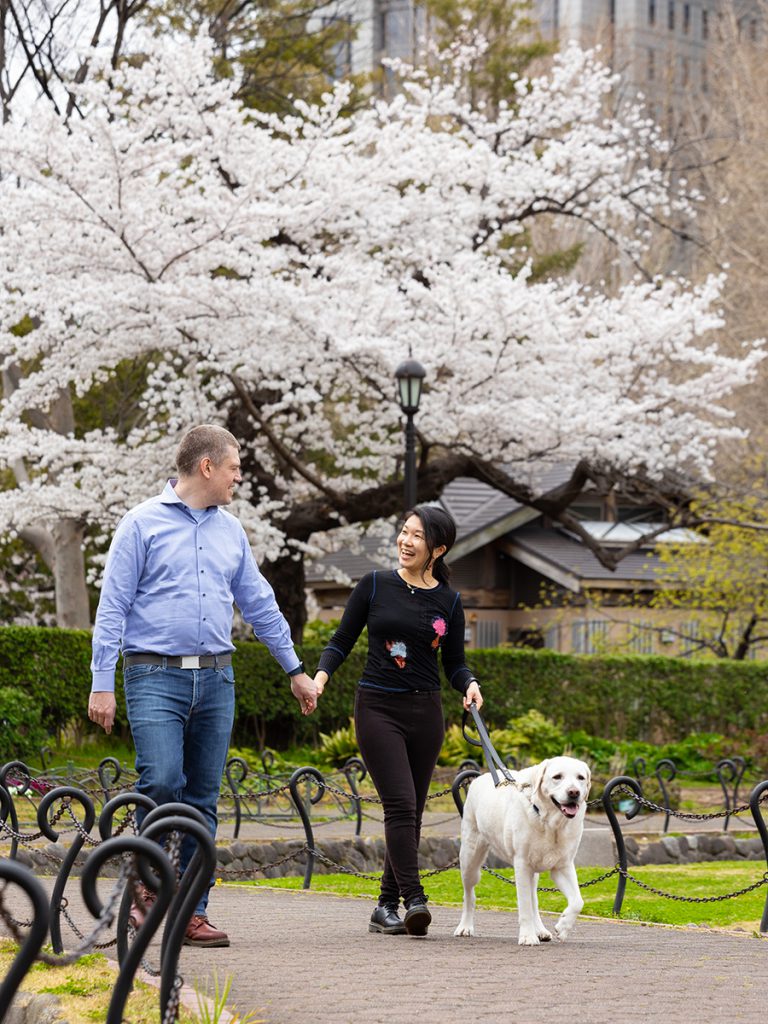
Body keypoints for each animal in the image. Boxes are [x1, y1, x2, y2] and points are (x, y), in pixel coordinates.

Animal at [454, 753, 593, 942]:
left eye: (580, 778)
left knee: (535, 899)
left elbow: (578, 901)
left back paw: (540, 930)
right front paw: (527, 937)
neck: (550, 824)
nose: (574, 792)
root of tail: (480, 777)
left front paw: (563, 927)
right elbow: (525, 905)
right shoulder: (522, 864)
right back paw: (465, 927)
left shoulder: (562, 866)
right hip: (470, 860)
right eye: (557, 777)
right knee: (469, 895)